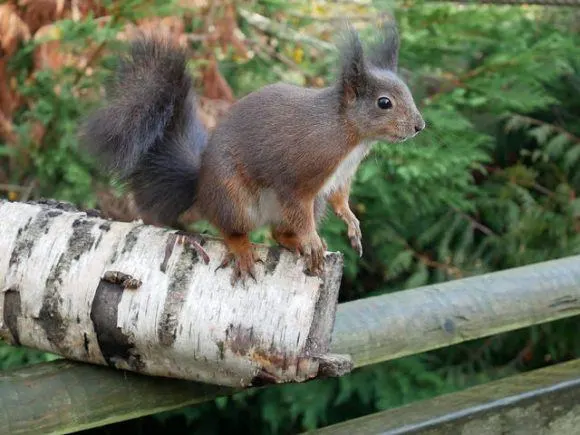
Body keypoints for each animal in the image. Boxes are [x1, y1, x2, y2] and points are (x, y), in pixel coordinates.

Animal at [81, 22, 424, 284]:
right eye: (384, 103)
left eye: (408, 92)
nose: (419, 127)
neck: (351, 137)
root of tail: (201, 187)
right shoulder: (298, 176)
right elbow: (297, 202)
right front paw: (313, 239)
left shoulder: (339, 178)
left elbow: (340, 199)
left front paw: (351, 223)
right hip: (233, 198)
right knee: (230, 228)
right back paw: (249, 248)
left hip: (308, 207)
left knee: (277, 232)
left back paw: (295, 242)